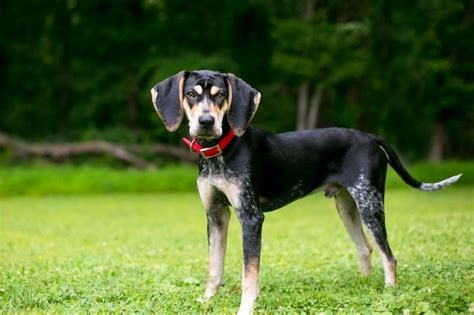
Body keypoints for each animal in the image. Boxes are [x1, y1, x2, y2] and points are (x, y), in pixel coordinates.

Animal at [150, 70, 462, 314]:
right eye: (191, 94)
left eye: (220, 96)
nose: (205, 122)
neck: (221, 150)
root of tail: (369, 137)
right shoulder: (215, 214)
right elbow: (214, 267)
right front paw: (207, 300)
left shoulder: (251, 217)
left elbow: (249, 274)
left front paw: (246, 308)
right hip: (347, 206)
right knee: (366, 248)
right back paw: (364, 285)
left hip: (370, 204)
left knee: (389, 255)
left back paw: (388, 291)